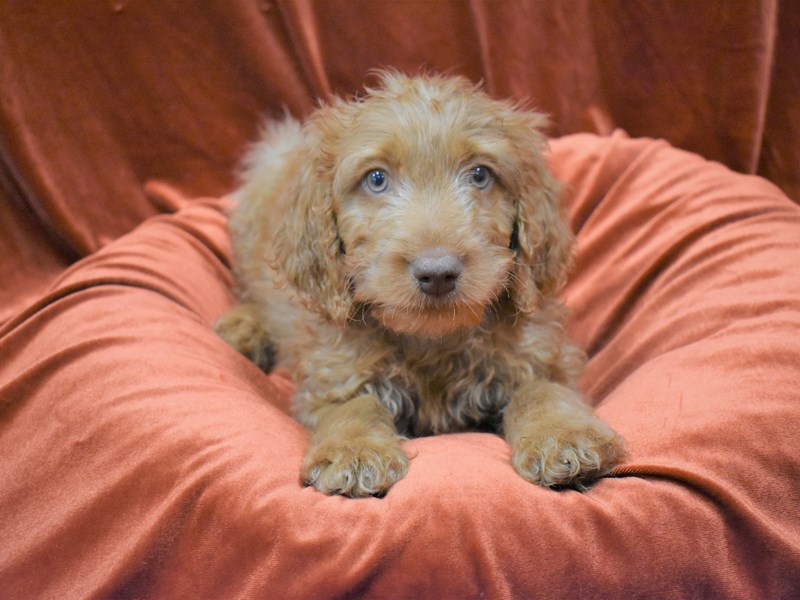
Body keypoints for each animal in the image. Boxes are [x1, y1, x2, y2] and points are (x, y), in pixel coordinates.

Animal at [217, 70, 624, 496]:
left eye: (480, 175)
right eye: (376, 179)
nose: (437, 273)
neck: (432, 341)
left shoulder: (540, 355)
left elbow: (542, 388)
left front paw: (563, 434)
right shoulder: (333, 373)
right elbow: (351, 405)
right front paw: (353, 450)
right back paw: (245, 327)